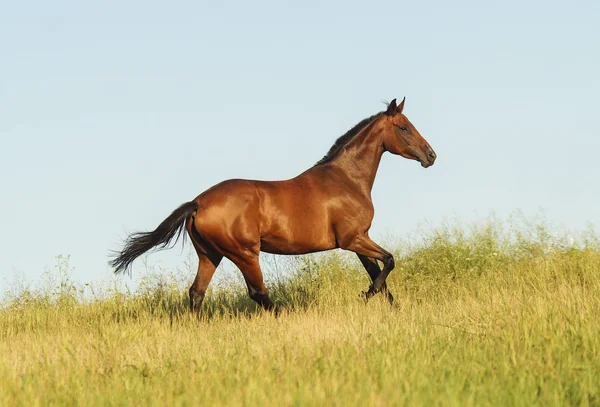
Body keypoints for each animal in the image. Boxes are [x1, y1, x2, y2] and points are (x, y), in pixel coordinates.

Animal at [109, 98, 436, 312]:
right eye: (404, 127)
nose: (431, 156)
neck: (346, 179)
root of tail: (198, 202)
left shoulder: (360, 240)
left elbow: (377, 271)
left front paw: (391, 306)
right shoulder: (352, 239)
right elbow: (389, 261)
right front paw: (366, 297)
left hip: (210, 255)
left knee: (197, 293)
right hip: (244, 253)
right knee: (257, 292)